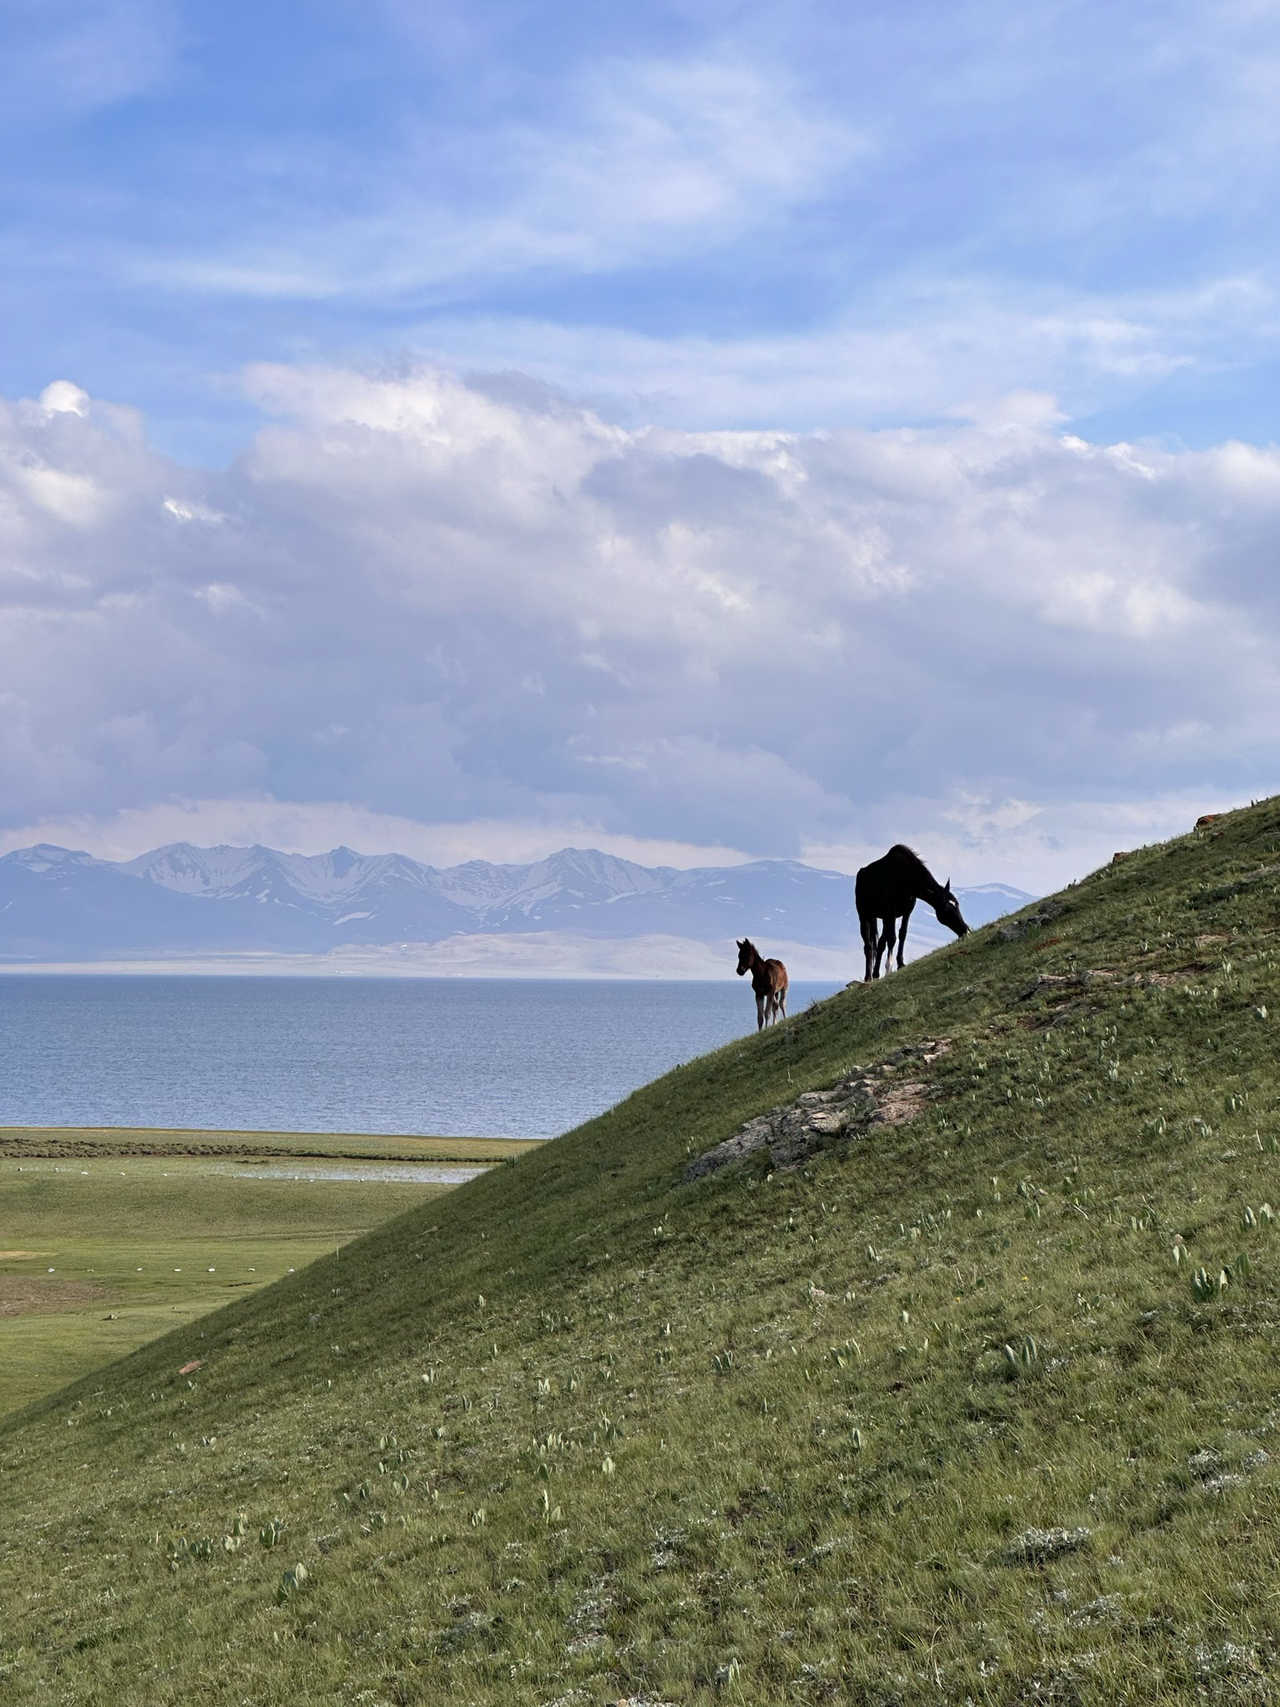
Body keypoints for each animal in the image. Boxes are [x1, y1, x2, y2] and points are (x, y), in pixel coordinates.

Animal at [854, 845, 969, 982]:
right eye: (947, 910)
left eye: (957, 904)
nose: (966, 930)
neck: (907, 879)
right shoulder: (891, 913)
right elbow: (892, 938)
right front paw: (889, 968)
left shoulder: (906, 912)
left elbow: (902, 934)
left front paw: (900, 964)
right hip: (865, 916)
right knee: (868, 946)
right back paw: (868, 977)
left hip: (881, 918)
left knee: (880, 942)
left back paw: (876, 973)